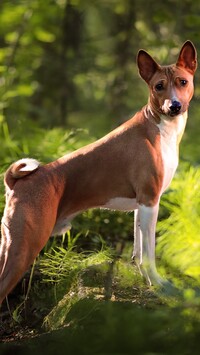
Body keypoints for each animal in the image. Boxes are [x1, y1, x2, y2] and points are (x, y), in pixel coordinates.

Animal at [0, 41, 197, 304]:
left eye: (182, 82)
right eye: (159, 86)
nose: (174, 106)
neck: (159, 128)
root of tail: (15, 183)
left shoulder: (142, 205)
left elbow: (138, 253)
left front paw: (146, 283)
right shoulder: (150, 201)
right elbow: (149, 254)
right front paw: (159, 285)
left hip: (9, 245)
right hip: (24, 247)